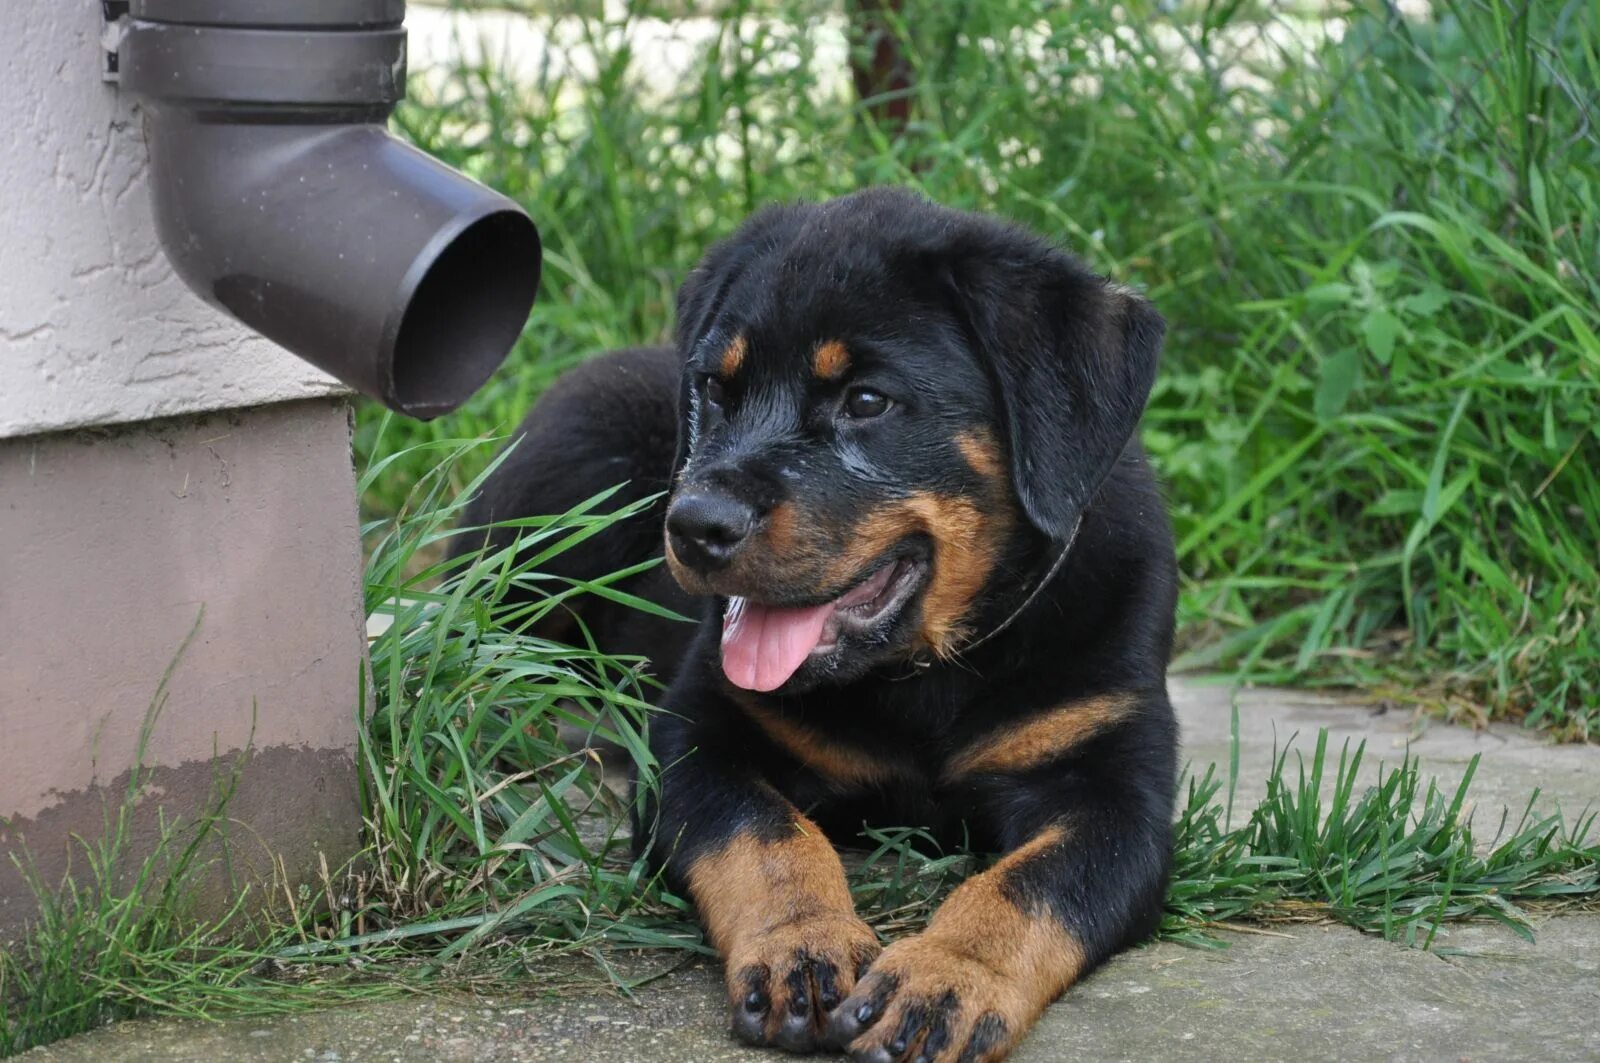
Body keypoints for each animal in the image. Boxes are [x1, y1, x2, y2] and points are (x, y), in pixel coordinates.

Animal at [464, 186, 1177, 1056]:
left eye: (866, 401)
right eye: (717, 389)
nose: (694, 524)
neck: (921, 677)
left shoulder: (1114, 785)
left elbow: (1032, 885)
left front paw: (945, 979)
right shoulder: (698, 733)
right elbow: (763, 832)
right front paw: (801, 946)